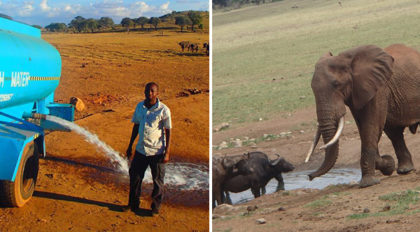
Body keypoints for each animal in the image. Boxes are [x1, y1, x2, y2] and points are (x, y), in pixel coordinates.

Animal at [306, 43, 420, 188]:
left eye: (336, 84)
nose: (309, 176)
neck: (347, 60)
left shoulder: (378, 89)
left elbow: (370, 126)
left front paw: (368, 183)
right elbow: (365, 128)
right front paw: (387, 164)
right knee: (394, 133)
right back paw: (405, 170)